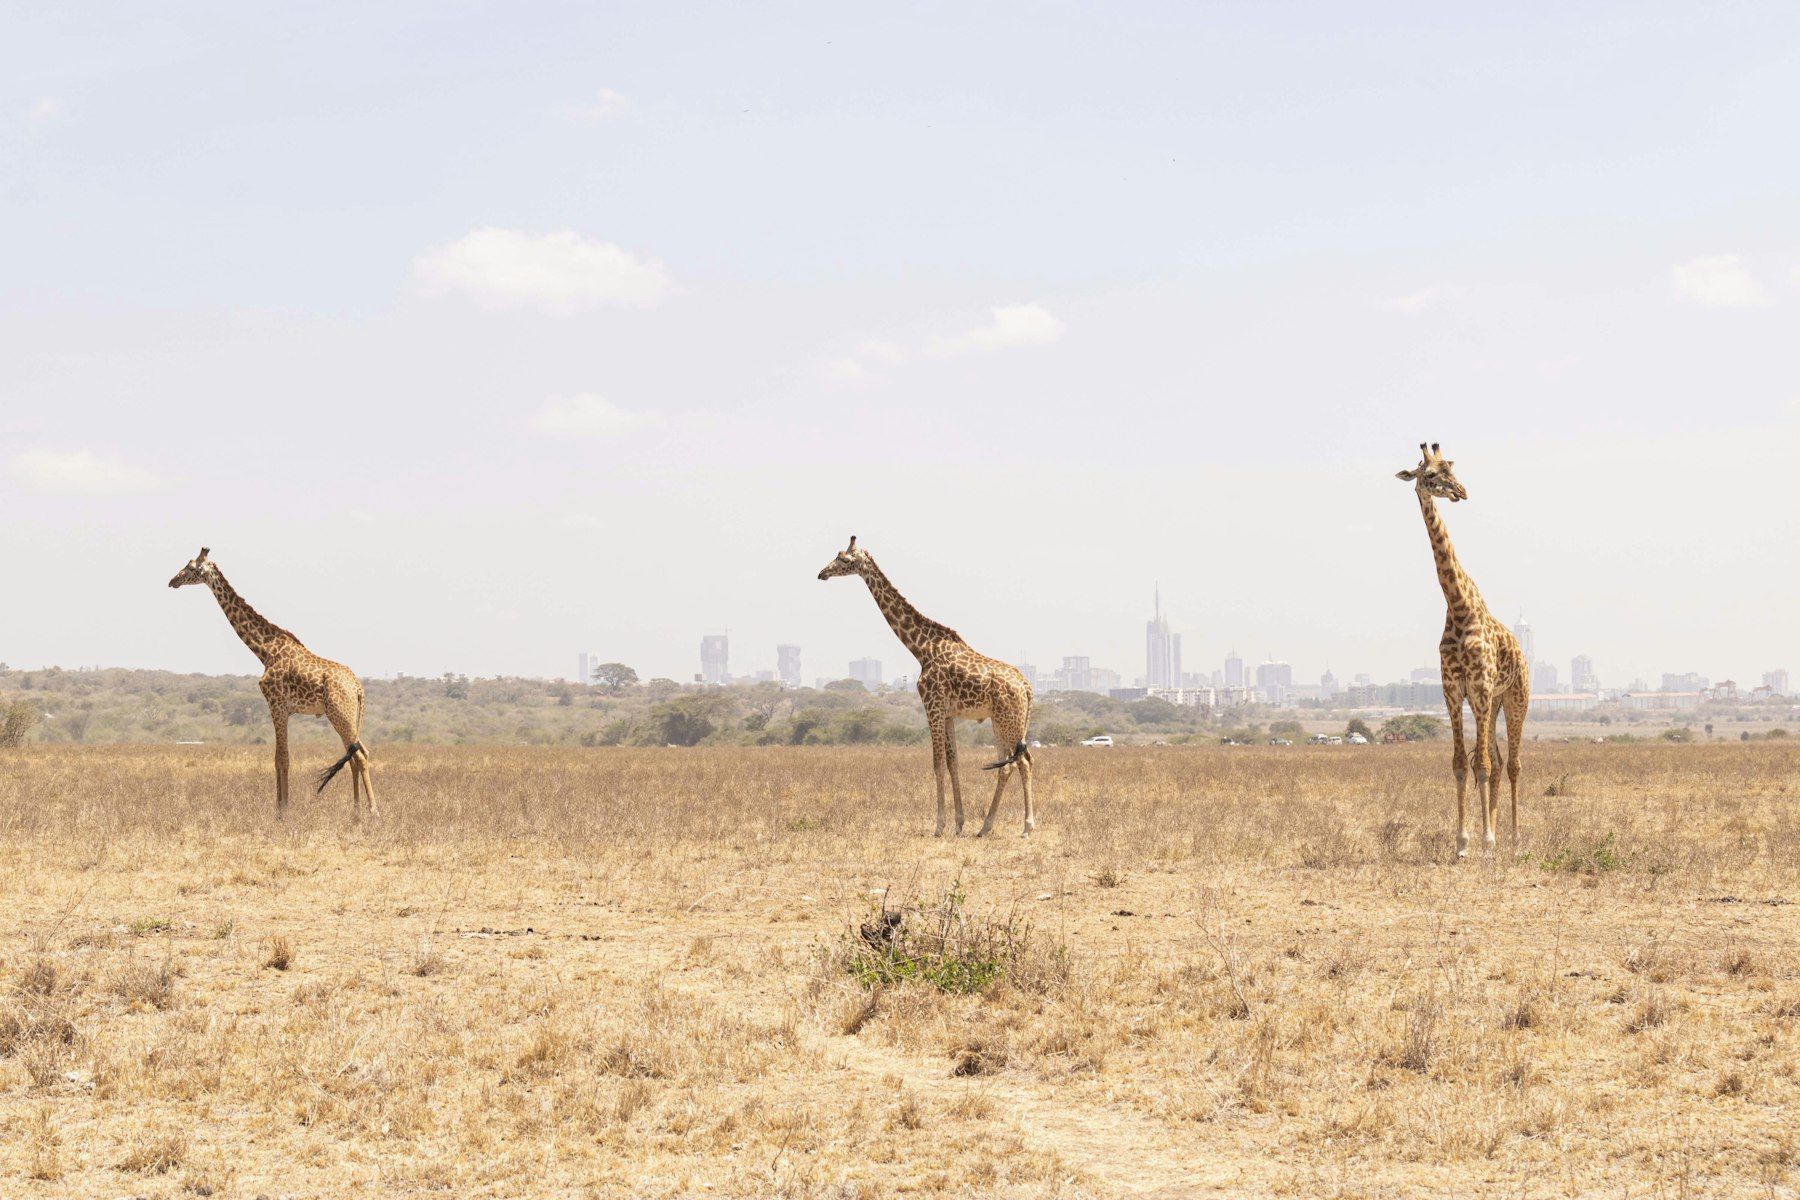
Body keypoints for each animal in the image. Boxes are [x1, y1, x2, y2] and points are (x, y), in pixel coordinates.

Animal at [168, 548, 375, 819]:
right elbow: (278, 758)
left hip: (340, 714)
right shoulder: (283, 709)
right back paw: (356, 811)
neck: (265, 650)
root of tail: (358, 688)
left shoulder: (276, 704)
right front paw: (279, 807)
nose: (172, 581)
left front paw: (283, 811)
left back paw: (373, 811)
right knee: (355, 756)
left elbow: (282, 758)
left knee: (359, 756)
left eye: (191, 567)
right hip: (347, 715)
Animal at [817, 537, 1037, 837]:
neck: (921, 649)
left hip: (1006, 720)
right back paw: (987, 827)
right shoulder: (948, 714)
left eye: (845, 559)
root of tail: (1027, 687)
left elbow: (937, 765)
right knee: (1016, 763)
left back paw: (1022, 827)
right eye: (837, 555)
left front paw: (939, 825)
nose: (822, 573)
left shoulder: (932, 707)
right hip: (1006, 721)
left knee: (1017, 764)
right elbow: (953, 764)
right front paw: (959, 823)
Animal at [1396, 444, 1528, 858]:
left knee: (1512, 763)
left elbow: (1480, 765)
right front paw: (1464, 843)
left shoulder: (1481, 687)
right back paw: (1499, 833)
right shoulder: (1453, 691)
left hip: (1515, 698)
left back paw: (1513, 839)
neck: (1457, 606)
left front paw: (1485, 840)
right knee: (1500, 761)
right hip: (1493, 702)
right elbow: (1460, 763)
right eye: (1429, 475)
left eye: (1451, 469)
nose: (1461, 491)